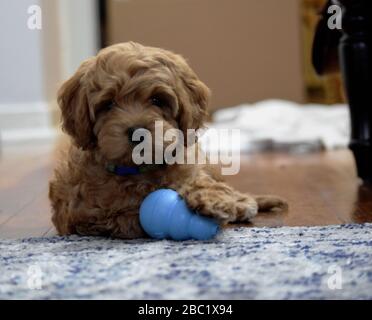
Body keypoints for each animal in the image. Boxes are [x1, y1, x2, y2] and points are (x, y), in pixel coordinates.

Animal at [48, 42, 288, 238]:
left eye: (157, 100)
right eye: (108, 104)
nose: (137, 131)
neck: (139, 169)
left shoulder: (190, 164)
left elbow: (201, 181)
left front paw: (214, 200)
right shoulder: (83, 215)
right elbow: (125, 217)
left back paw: (242, 202)